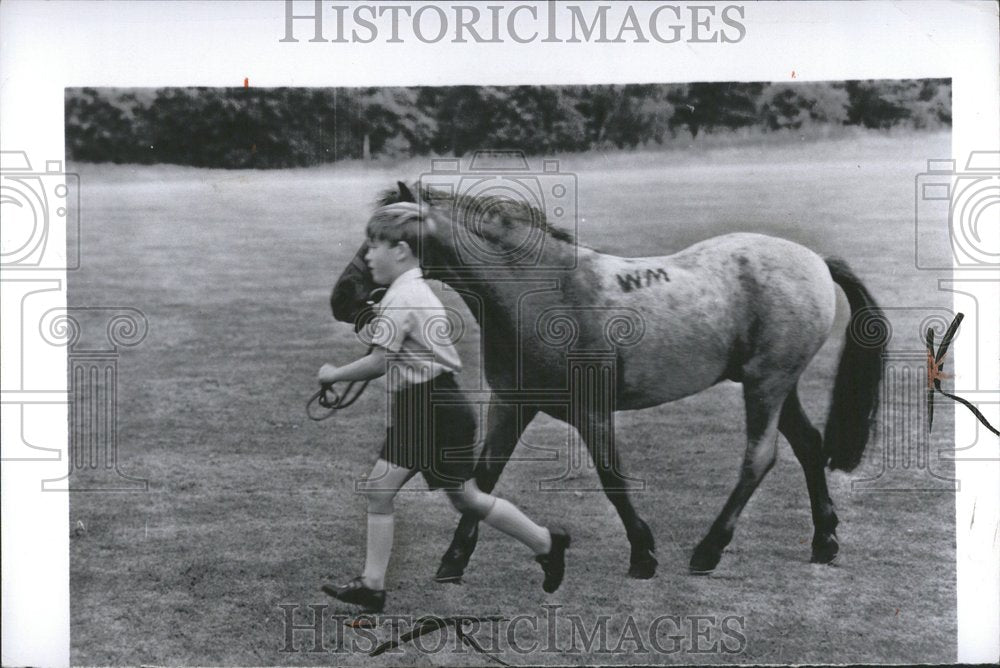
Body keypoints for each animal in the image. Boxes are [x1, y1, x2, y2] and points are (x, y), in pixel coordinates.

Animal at [332, 181, 888, 580]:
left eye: (387, 239)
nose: (342, 297)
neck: (541, 291)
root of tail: (815, 260)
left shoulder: (591, 411)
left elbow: (612, 479)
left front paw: (643, 555)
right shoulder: (511, 403)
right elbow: (484, 478)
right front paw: (453, 560)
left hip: (766, 384)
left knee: (760, 458)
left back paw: (708, 550)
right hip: (773, 383)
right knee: (809, 446)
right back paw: (824, 541)